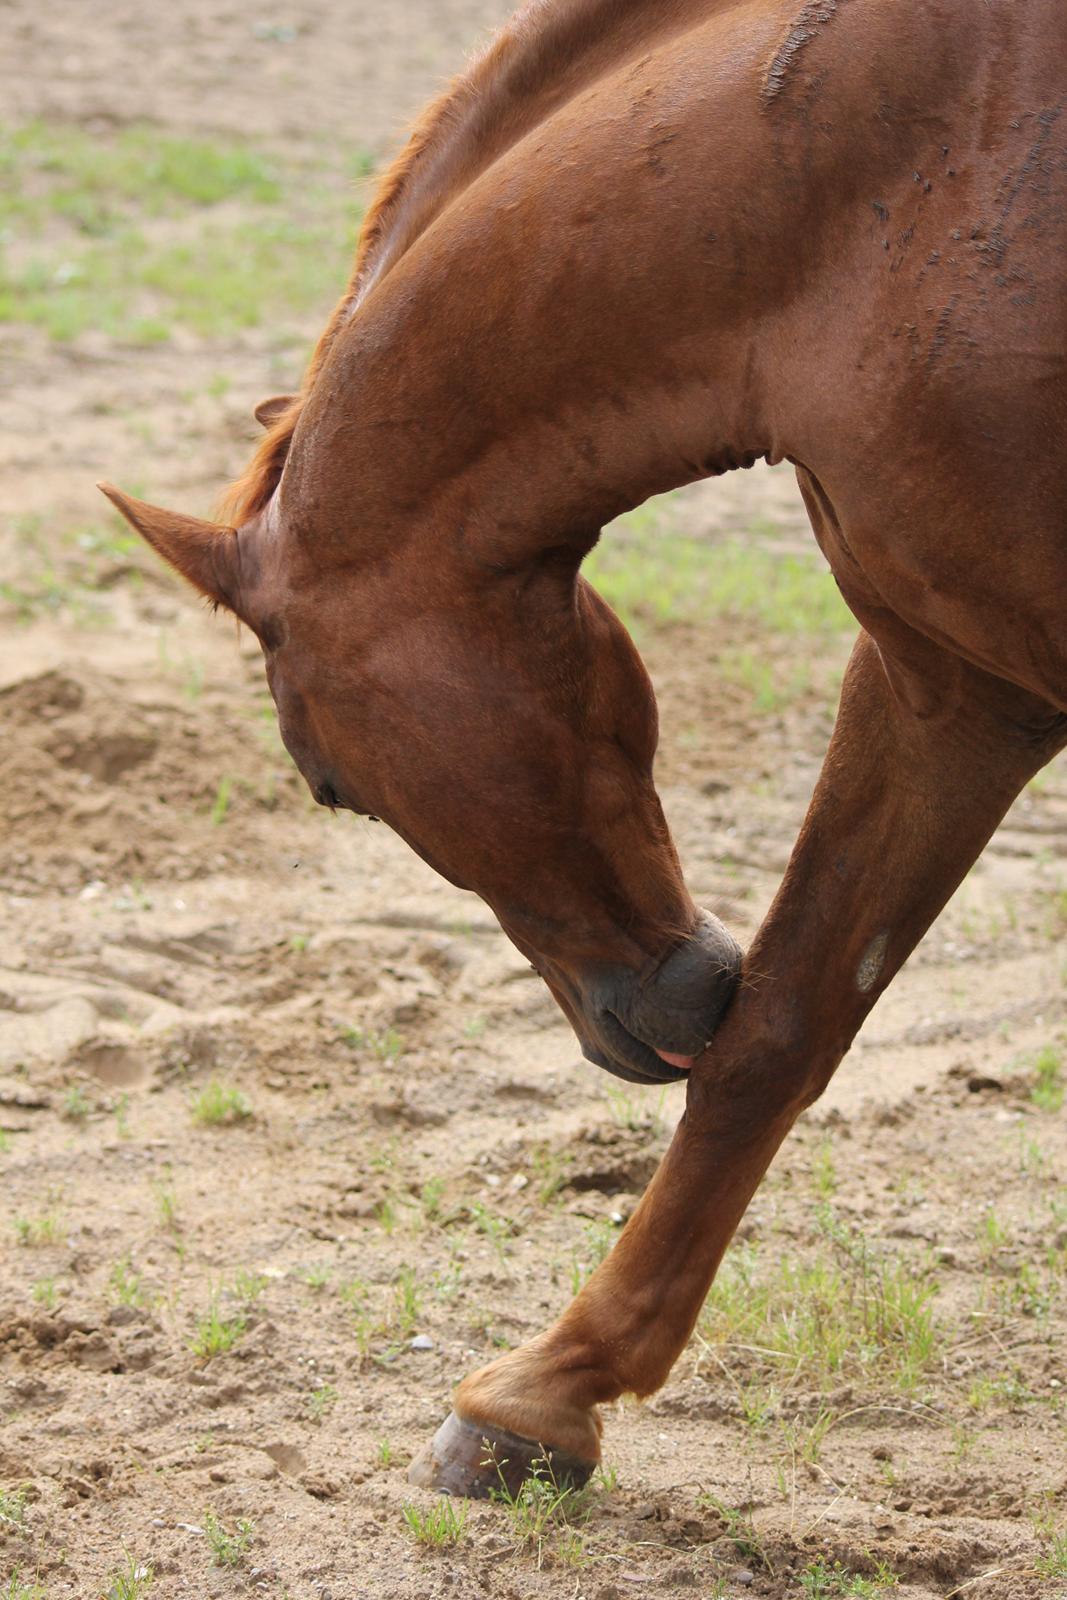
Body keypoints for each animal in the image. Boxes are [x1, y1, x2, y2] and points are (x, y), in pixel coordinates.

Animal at [102, 0, 1067, 1497]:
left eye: (329, 785)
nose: (660, 1008)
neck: (895, 182)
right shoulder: (949, 683)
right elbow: (785, 1022)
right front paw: (543, 1395)